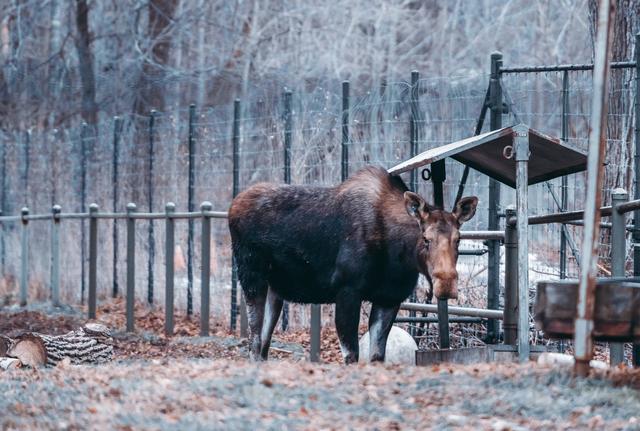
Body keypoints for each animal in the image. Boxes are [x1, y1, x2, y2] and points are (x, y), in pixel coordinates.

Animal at [228, 166, 478, 364]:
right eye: (426, 238)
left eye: (458, 239)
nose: (446, 284)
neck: (398, 256)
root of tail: (232, 207)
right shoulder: (347, 291)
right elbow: (352, 355)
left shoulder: (389, 299)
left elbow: (377, 356)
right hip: (252, 277)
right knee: (254, 341)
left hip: (275, 289)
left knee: (263, 344)